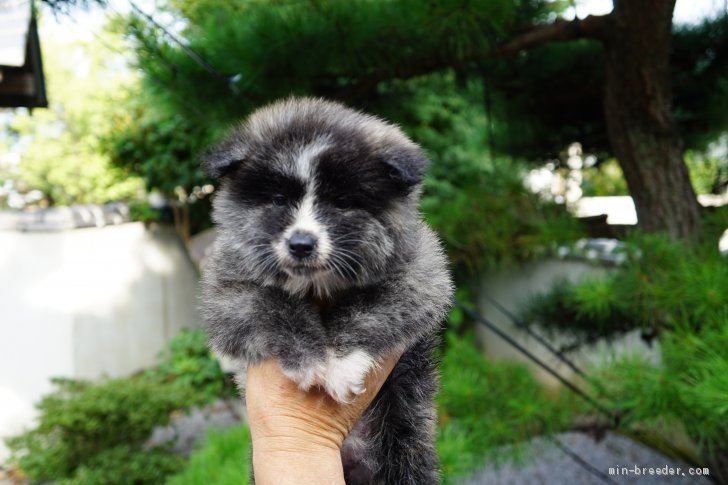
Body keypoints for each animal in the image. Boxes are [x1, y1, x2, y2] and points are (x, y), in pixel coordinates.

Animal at [199, 96, 450, 482]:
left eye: (342, 203)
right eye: (277, 200)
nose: (301, 244)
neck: (317, 283)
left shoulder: (422, 274)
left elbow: (373, 309)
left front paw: (342, 364)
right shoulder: (225, 290)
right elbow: (270, 304)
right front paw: (311, 360)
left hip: (404, 436)